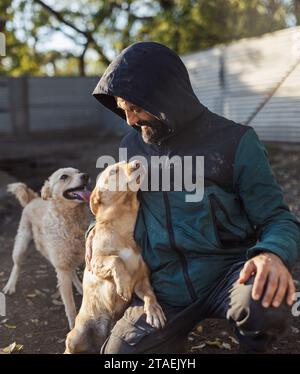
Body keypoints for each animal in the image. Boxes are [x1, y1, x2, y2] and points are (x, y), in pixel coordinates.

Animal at [2, 168, 90, 328]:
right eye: (64, 177)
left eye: (78, 172)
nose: (85, 176)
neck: (71, 220)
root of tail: (33, 199)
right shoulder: (61, 268)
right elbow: (70, 306)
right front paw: (74, 326)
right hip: (22, 244)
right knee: (17, 265)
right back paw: (10, 286)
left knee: (72, 270)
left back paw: (79, 286)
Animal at [64, 160, 166, 354]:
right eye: (114, 171)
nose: (137, 162)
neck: (122, 228)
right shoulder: (95, 262)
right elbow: (115, 260)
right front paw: (122, 285)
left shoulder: (141, 280)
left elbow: (149, 294)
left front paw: (154, 310)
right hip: (75, 337)